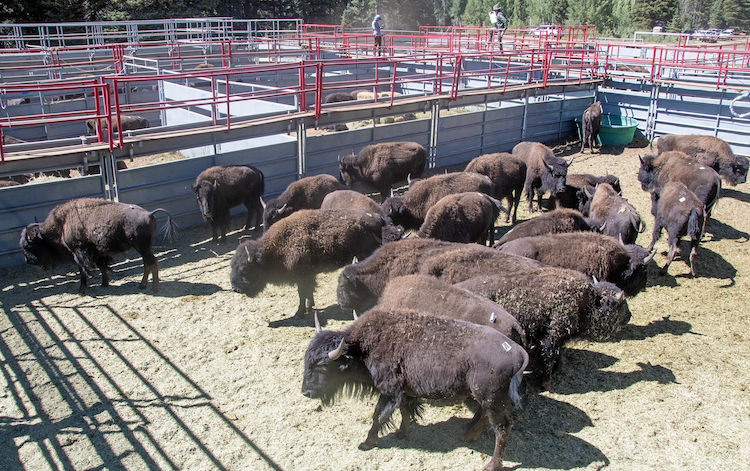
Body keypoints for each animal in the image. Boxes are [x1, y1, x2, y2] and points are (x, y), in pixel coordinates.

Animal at [19, 198, 177, 296]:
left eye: (29, 246)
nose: (28, 260)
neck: (62, 224)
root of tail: (149, 214)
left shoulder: (79, 253)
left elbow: (84, 271)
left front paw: (81, 291)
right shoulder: (97, 253)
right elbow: (101, 266)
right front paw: (104, 283)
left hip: (142, 247)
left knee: (152, 262)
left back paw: (153, 289)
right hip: (142, 248)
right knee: (147, 263)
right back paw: (143, 285)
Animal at [232, 207, 402, 316]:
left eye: (244, 269)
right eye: (232, 266)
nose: (235, 288)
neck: (273, 248)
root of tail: (377, 218)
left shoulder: (303, 276)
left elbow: (302, 294)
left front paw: (299, 312)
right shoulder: (307, 276)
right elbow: (308, 292)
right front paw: (310, 306)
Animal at [304, 310, 528, 471]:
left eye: (322, 367)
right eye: (306, 360)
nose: (305, 392)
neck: (361, 349)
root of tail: (517, 351)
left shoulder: (389, 392)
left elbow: (378, 416)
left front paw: (367, 442)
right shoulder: (406, 393)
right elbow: (405, 412)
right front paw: (402, 433)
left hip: (493, 401)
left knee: (502, 428)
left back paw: (490, 465)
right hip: (486, 398)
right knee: (485, 417)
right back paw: (469, 433)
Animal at [462, 270, 632, 390]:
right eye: (620, 303)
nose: (629, 316)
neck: (589, 299)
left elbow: (557, 353)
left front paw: (558, 369)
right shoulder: (551, 336)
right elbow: (548, 356)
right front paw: (546, 383)